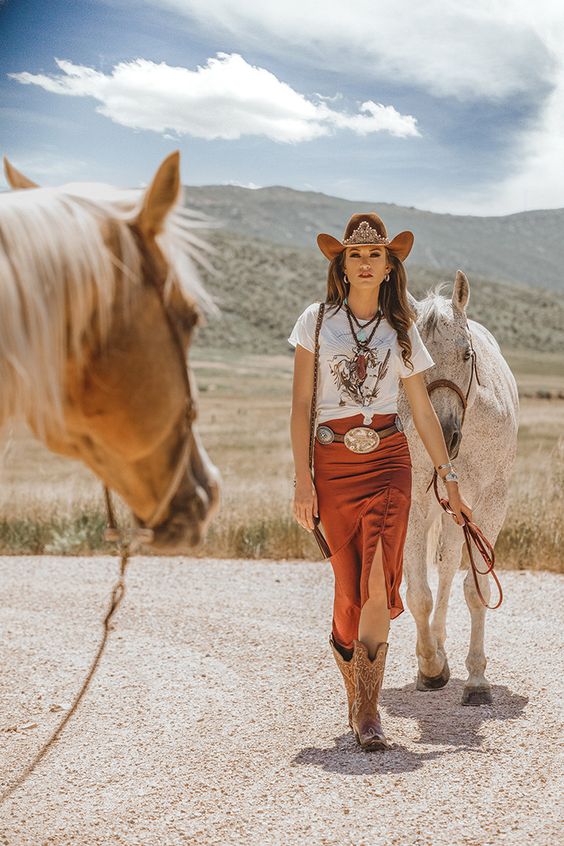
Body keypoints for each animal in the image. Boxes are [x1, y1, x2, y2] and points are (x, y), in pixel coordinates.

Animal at [398, 270, 516, 704]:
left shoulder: (492, 501)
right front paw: (431, 668)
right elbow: (417, 592)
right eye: (410, 360)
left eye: (467, 355)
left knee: (449, 568)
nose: (444, 435)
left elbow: (476, 587)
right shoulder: (415, 502)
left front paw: (477, 680)